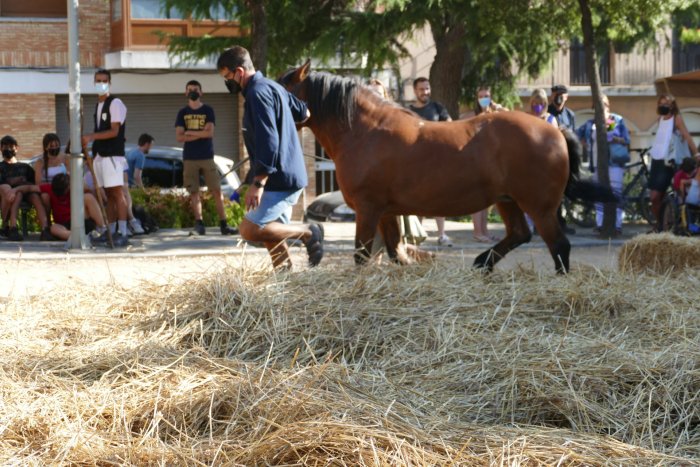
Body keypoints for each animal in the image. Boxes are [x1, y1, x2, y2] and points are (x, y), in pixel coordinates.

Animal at [278, 64, 612, 272]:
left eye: (281, 87)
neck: (365, 131)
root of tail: (554, 130)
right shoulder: (386, 212)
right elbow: (397, 254)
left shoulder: (368, 209)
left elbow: (362, 256)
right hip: (508, 201)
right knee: (520, 234)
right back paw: (482, 263)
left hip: (539, 207)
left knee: (559, 246)